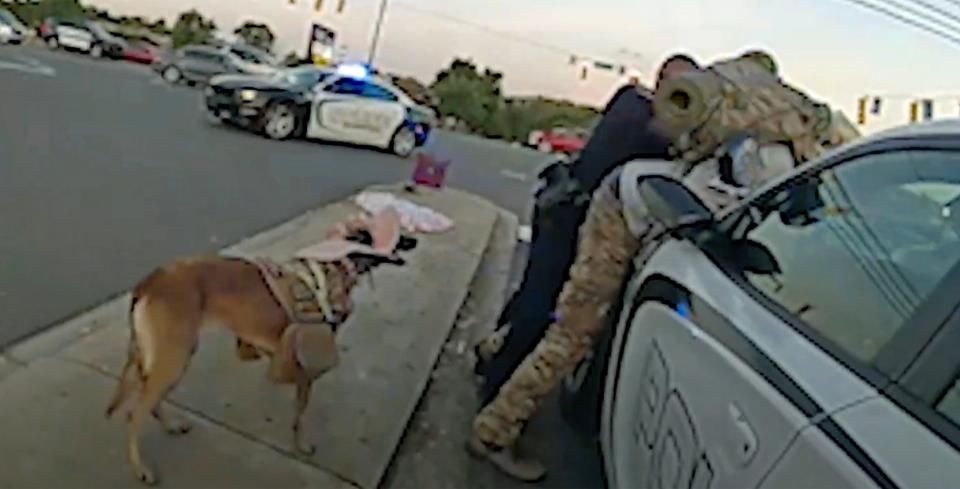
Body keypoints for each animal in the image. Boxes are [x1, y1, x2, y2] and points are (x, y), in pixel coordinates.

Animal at [105, 208, 416, 482]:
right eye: (396, 233)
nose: (414, 240)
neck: (333, 269)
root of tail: (150, 282)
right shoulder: (306, 368)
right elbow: (300, 414)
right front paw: (301, 445)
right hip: (174, 359)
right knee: (135, 413)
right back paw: (141, 468)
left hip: (167, 358)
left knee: (148, 401)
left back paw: (170, 426)